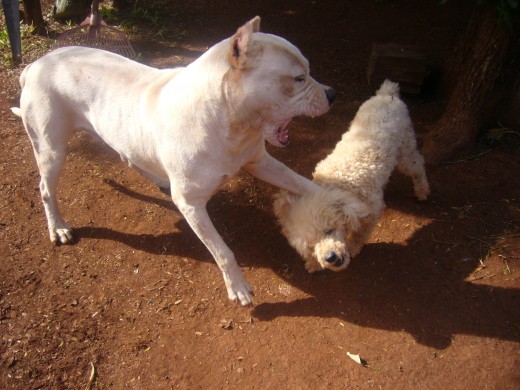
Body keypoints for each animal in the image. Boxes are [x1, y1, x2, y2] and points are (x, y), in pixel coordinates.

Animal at [13, 16, 338, 306]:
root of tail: (36, 64)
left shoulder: (260, 162)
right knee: (46, 189)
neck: (228, 120)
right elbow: (223, 251)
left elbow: (303, 183)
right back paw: (58, 227)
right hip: (52, 150)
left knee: (130, 157)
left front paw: (339, 202)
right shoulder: (191, 205)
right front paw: (237, 287)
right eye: (298, 78)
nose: (334, 94)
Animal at [274, 80, 428, 272]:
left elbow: (360, 233)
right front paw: (313, 263)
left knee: (418, 164)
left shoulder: (371, 210)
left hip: (405, 148)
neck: (339, 186)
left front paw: (353, 246)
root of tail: (387, 94)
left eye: (329, 230)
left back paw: (422, 190)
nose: (330, 257)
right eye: (311, 245)